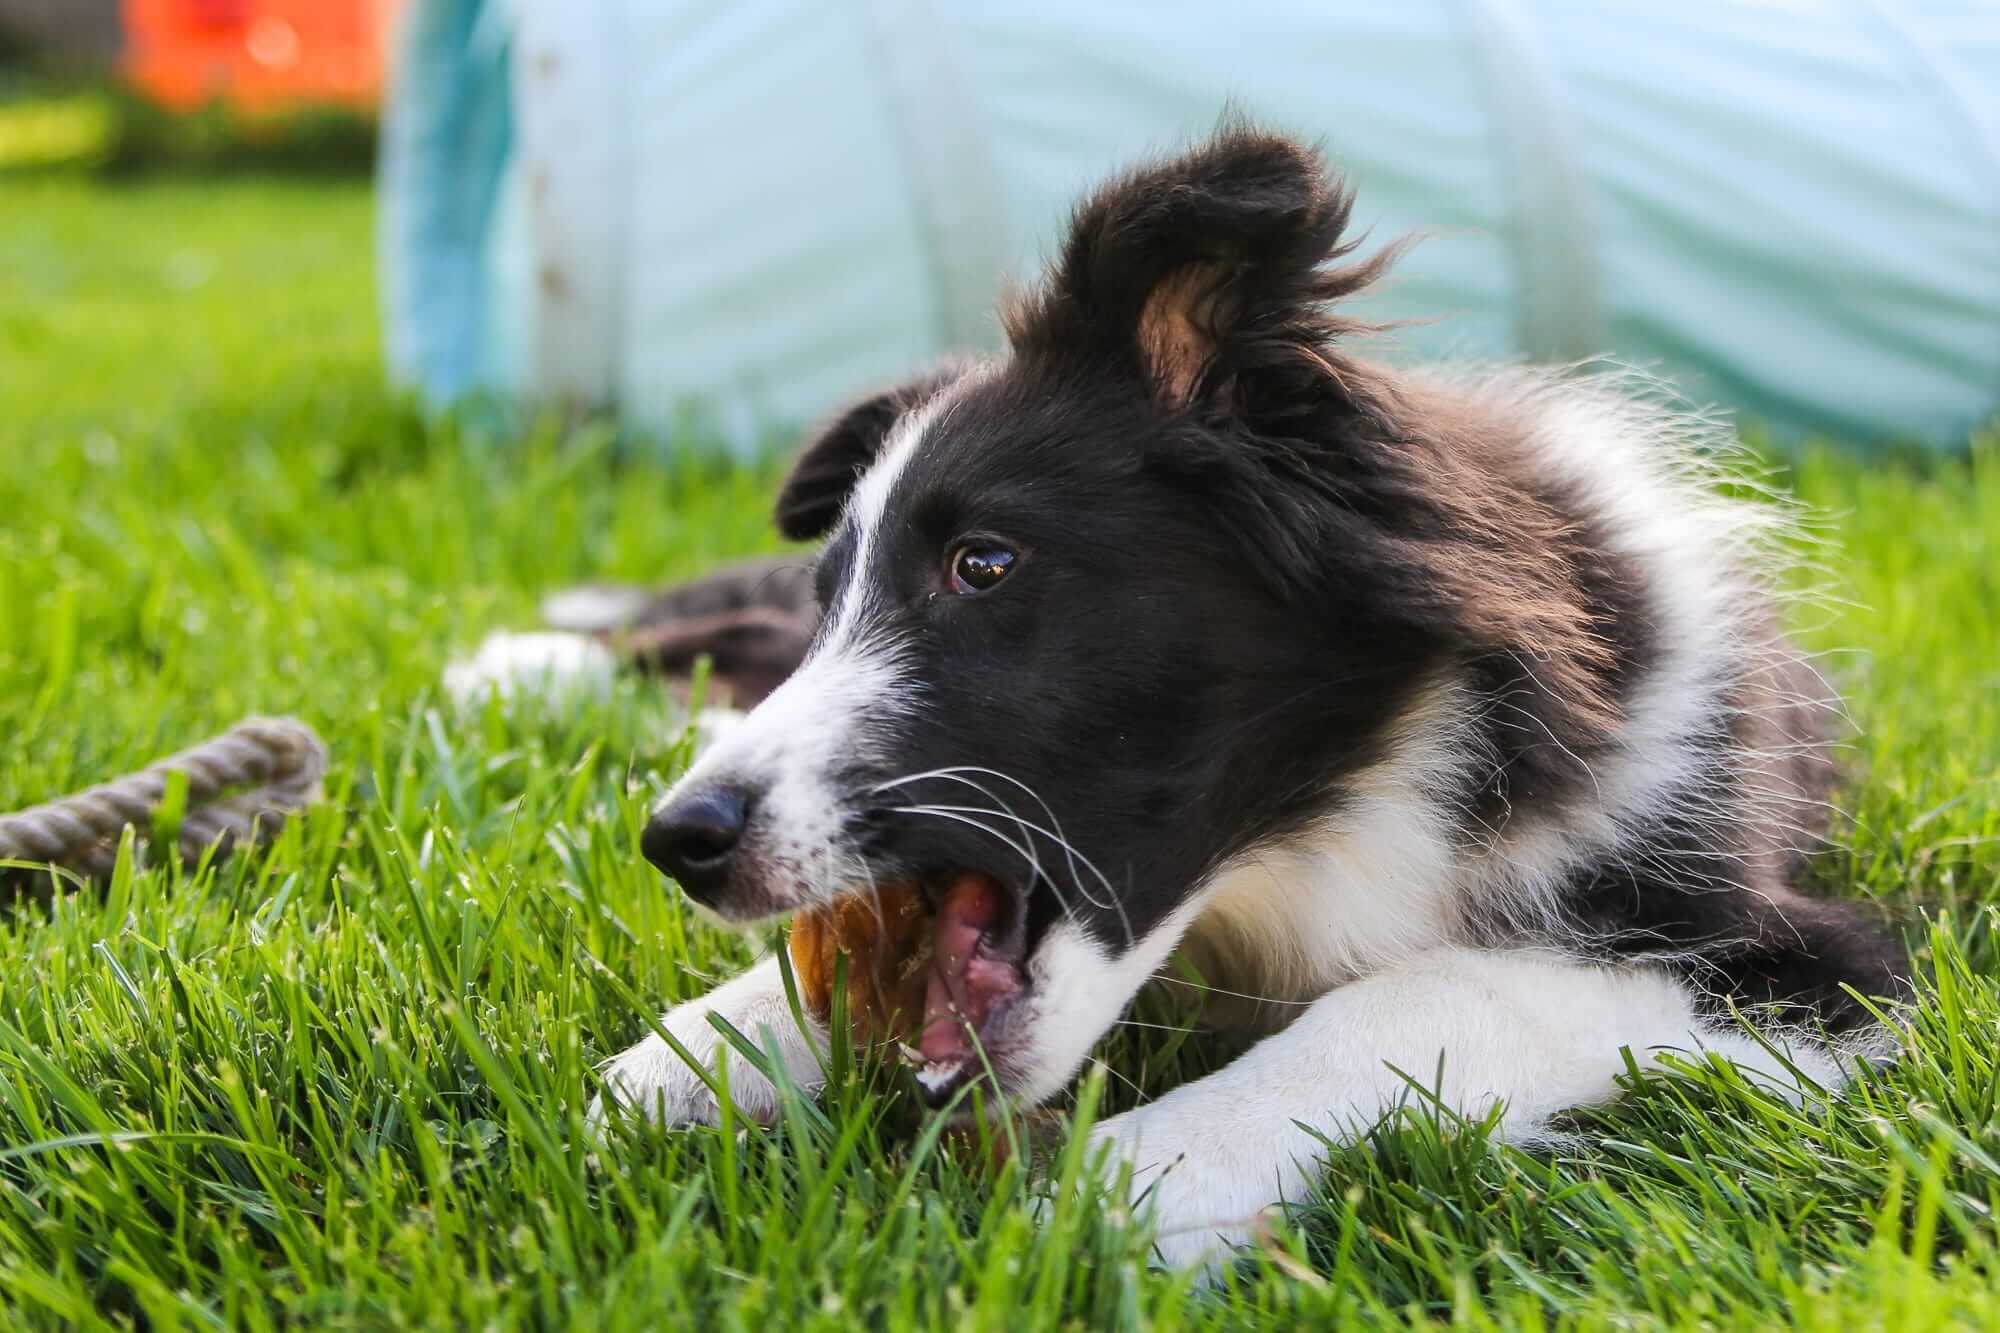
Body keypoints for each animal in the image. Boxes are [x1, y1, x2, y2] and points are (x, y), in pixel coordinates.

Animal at [592, 124, 1904, 1264]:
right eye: (833, 600)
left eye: (983, 565)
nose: (678, 840)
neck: (1331, 811)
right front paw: (668, 1067)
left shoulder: (1802, 960)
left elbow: (1419, 992)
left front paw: (1124, 1183)